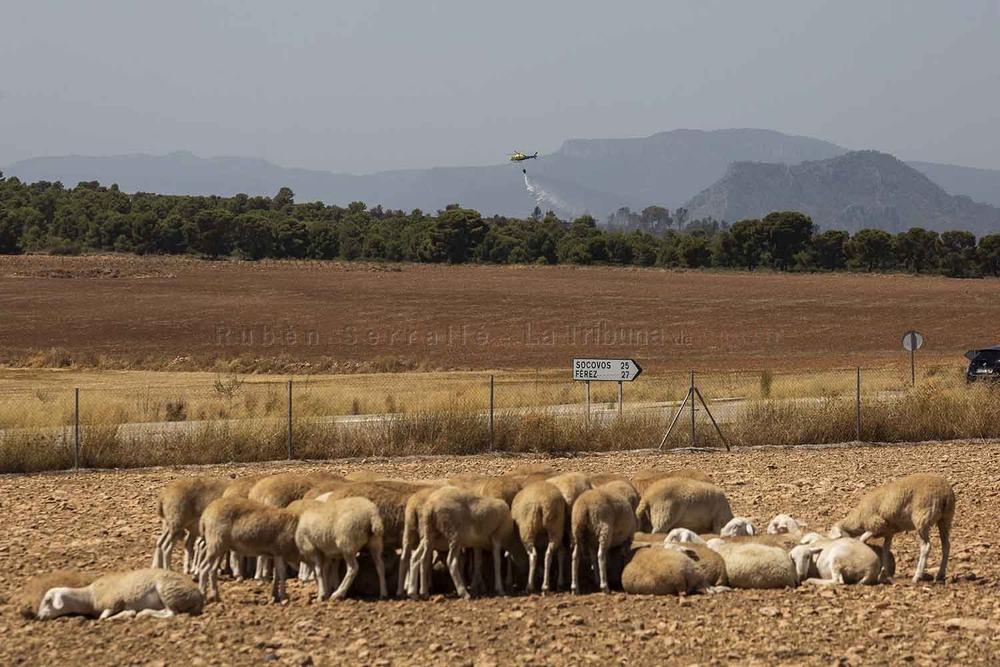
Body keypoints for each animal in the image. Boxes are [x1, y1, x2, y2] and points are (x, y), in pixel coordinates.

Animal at [36, 568, 204, 620]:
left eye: (48, 600)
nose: (38, 616)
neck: (89, 597)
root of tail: (198, 594)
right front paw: (129, 613)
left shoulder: (113, 602)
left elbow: (103, 618)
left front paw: (125, 615)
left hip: (167, 590)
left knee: (172, 613)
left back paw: (144, 613)